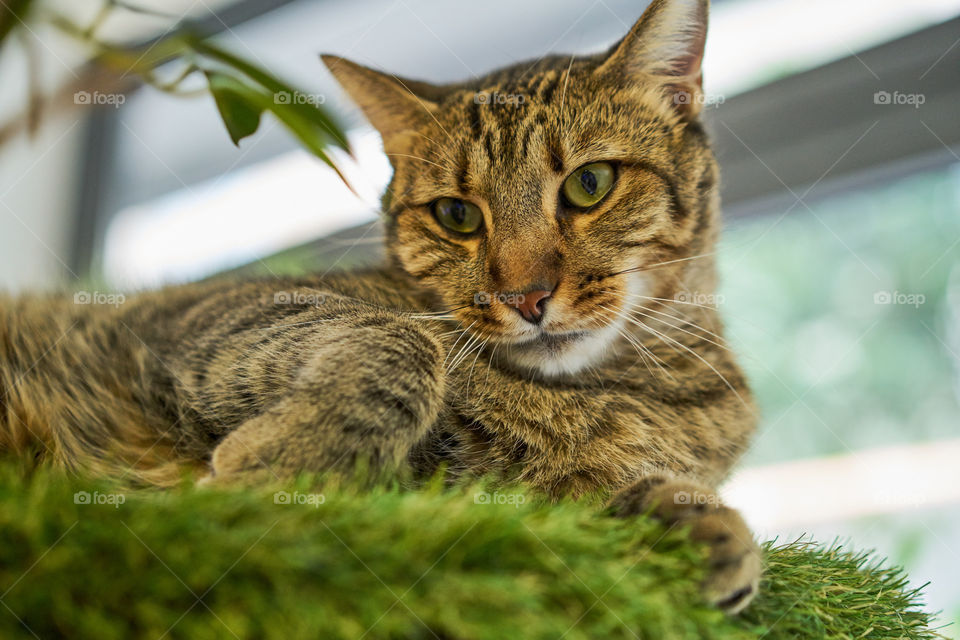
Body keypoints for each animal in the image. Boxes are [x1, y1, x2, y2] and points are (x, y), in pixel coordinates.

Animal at [1, 0, 764, 612]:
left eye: (590, 183)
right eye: (457, 215)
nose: (525, 297)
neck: (612, 392)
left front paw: (691, 524)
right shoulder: (210, 314)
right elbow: (398, 344)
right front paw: (286, 466)